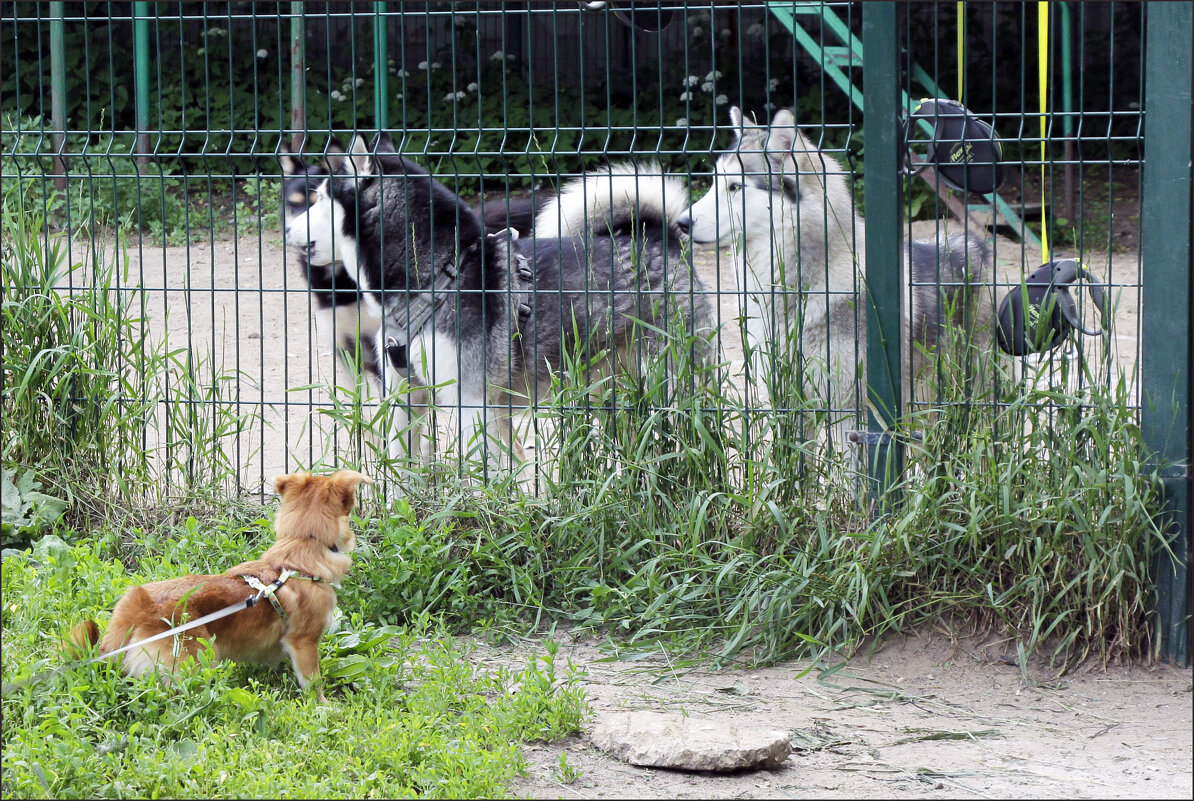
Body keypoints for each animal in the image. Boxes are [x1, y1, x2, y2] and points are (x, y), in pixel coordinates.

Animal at [71, 470, 367, 701]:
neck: (300, 550)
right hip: (194, 660)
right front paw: (323, 706)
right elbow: (312, 681)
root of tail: (139, 605)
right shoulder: (304, 642)